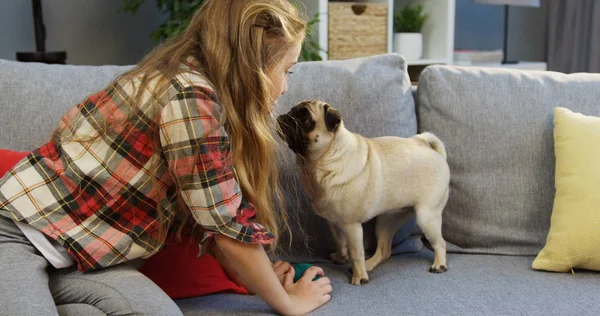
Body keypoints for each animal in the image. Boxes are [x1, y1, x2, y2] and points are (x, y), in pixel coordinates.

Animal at [276, 100, 450, 286]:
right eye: (292, 111)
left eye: (304, 118)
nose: (284, 116)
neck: (321, 162)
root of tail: (431, 150)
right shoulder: (333, 222)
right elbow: (339, 242)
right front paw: (341, 258)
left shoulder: (351, 226)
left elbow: (356, 253)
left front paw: (360, 276)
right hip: (387, 220)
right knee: (384, 250)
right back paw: (370, 264)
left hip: (427, 216)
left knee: (440, 243)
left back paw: (439, 265)